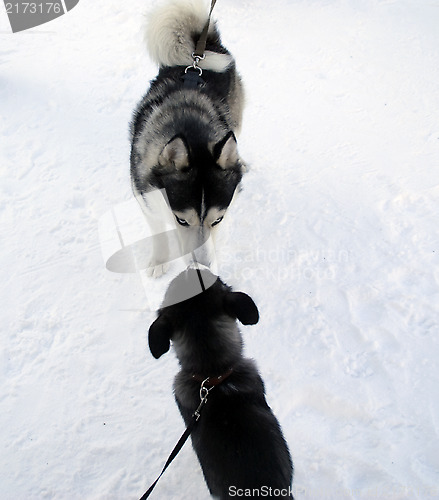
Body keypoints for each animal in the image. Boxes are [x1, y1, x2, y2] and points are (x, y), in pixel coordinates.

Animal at [131, 0, 248, 276]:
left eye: (218, 219)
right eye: (182, 220)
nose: (201, 267)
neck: (190, 125)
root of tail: (203, 47)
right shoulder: (144, 198)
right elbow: (158, 231)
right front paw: (159, 261)